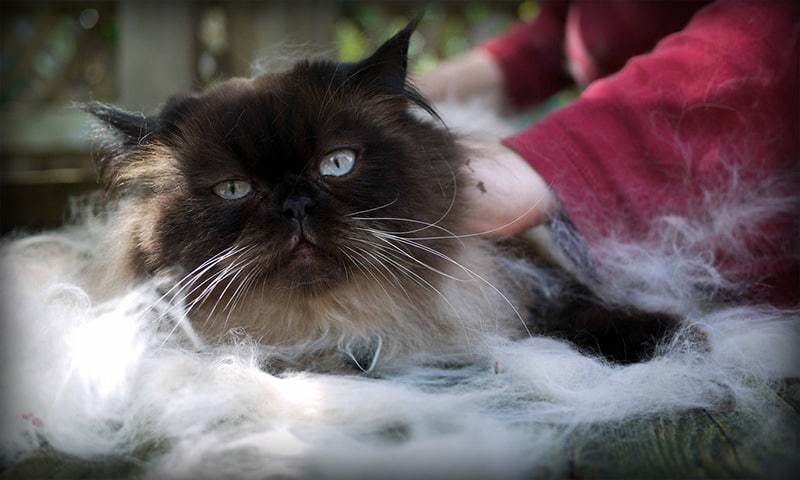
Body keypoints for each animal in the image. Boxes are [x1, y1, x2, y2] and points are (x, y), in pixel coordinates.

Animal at [84, 17, 692, 372]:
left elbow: (584, 309)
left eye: (337, 163)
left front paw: (680, 341)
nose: (295, 204)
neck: (341, 325)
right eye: (234, 189)